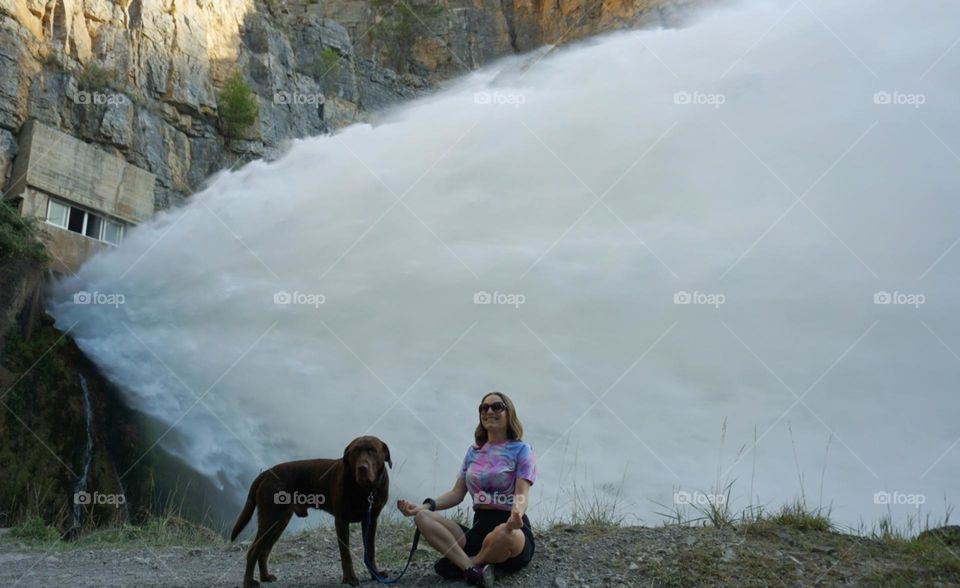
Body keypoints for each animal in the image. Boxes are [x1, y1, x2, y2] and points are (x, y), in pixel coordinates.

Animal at [231, 434, 392, 584]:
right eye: (355, 452)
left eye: (373, 450)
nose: (362, 468)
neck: (366, 490)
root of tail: (267, 473)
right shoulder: (341, 521)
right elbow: (346, 555)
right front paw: (350, 578)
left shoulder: (371, 521)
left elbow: (370, 551)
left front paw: (375, 574)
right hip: (270, 519)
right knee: (253, 551)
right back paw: (249, 582)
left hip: (279, 522)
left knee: (264, 551)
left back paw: (265, 577)